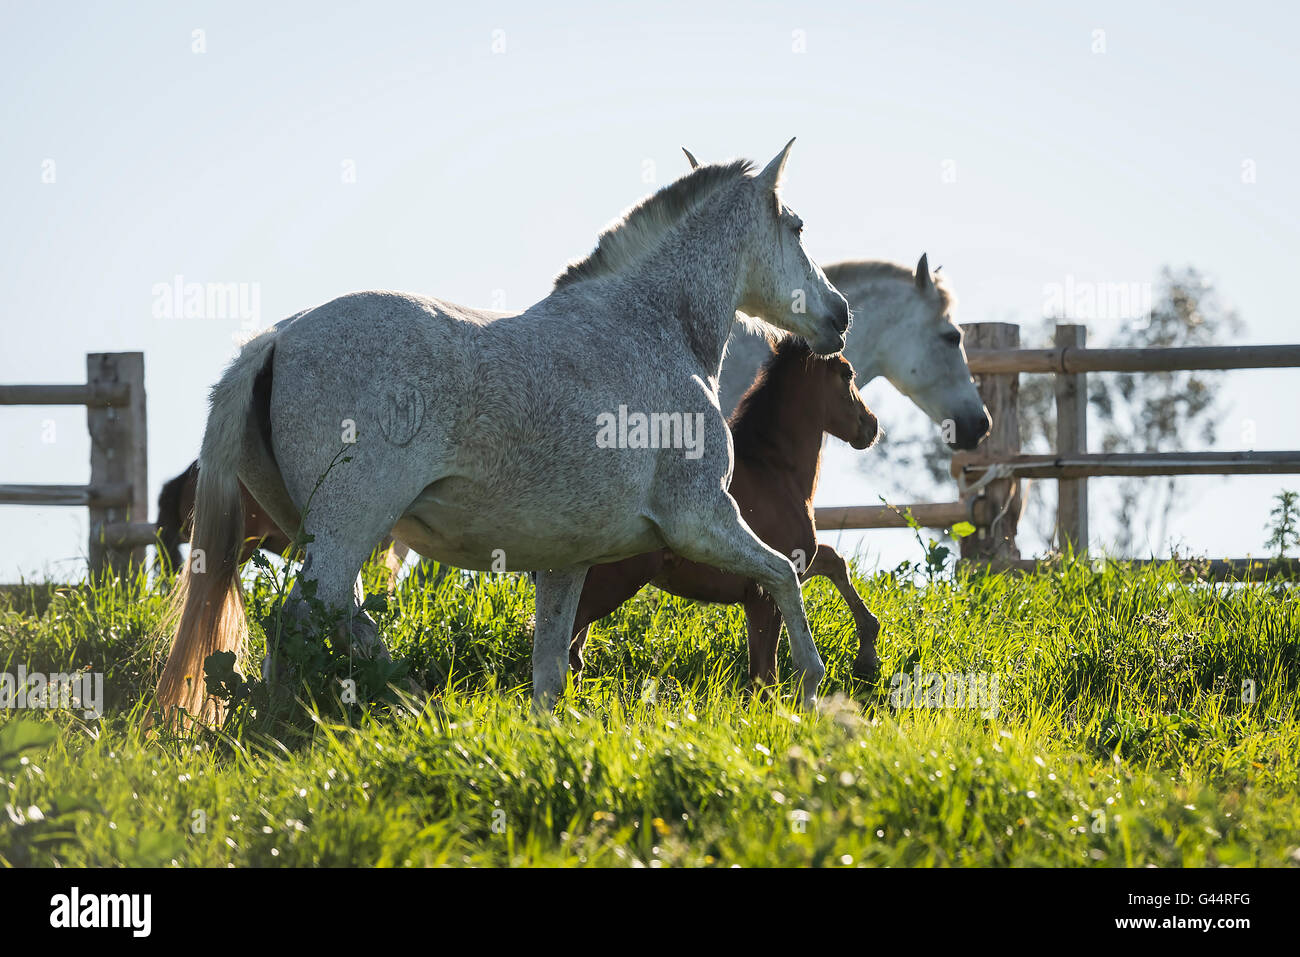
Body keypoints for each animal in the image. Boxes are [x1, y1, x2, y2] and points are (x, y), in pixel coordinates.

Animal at [569, 335, 883, 686]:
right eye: (847, 373)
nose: (871, 426)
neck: (774, 472)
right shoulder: (766, 595)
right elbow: (765, 677)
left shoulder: (785, 576)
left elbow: (833, 559)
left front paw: (867, 655)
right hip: (615, 580)